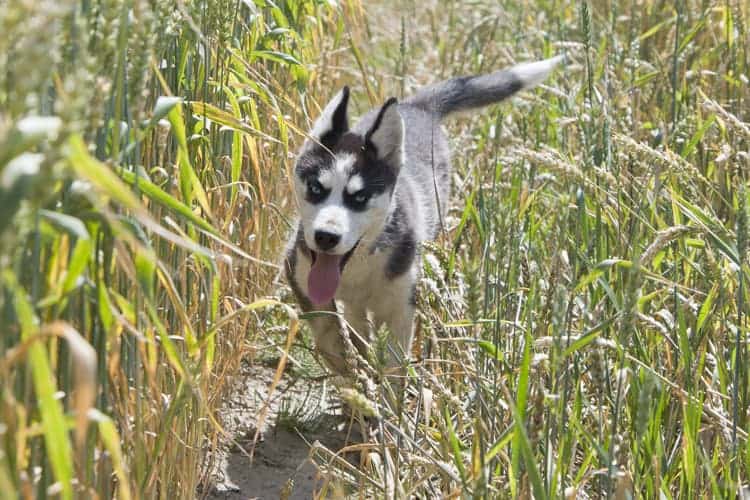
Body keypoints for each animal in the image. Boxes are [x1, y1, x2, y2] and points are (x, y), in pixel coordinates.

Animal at [284, 56, 560, 374]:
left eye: (360, 197)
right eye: (316, 188)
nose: (326, 237)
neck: (358, 266)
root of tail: (415, 106)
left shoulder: (400, 307)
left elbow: (393, 372)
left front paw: (371, 382)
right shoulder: (300, 275)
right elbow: (332, 339)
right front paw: (353, 375)